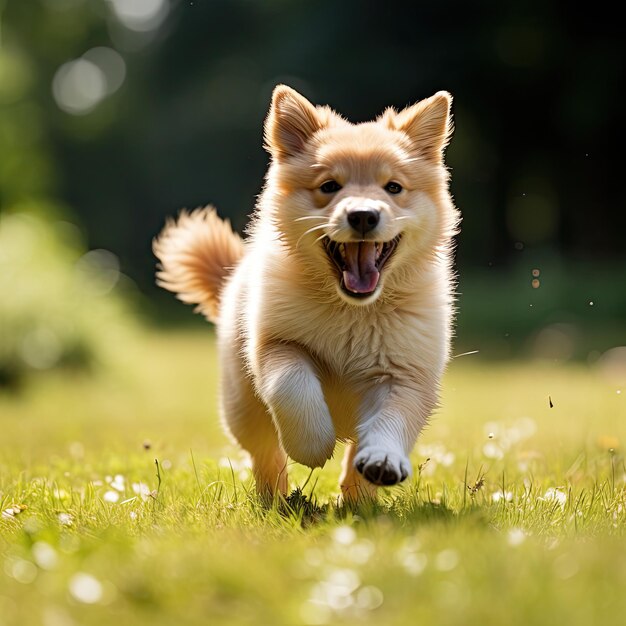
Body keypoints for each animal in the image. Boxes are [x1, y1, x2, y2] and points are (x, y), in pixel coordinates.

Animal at [154, 85, 456, 500]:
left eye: (393, 187)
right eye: (329, 186)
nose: (363, 216)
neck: (352, 311)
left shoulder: (407, 372)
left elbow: (393, 419)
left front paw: (382, 461)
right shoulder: (275, 343)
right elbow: (292, 385)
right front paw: (312, 445)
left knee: (353, 459)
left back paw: (359, 498)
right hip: (241, 407)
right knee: (265, 454)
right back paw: (277, 498)